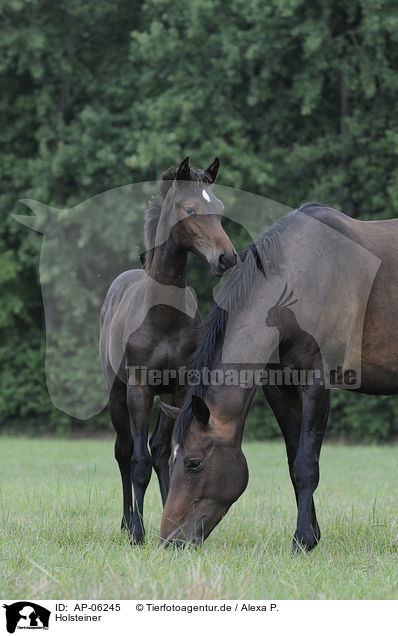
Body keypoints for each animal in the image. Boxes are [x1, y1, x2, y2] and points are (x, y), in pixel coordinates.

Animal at [100, 155, 236, 540]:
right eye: (189, 209)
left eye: (220, 208)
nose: (227, 258)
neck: (162, 317)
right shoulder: (140, 389)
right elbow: (138, 462)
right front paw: (138, 533)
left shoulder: (178, 389)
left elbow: (167, 454)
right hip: (116, 393)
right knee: (123, 451)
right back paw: (126, 522)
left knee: (158, 451)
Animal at [159, 202, 398, 552]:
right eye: (170, 461)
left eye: (194, 463)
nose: (170, 540)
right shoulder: (279, 389)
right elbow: (293, 461)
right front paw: (312, 534)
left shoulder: (316, 383)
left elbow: (306, 465)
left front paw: (301, 540)